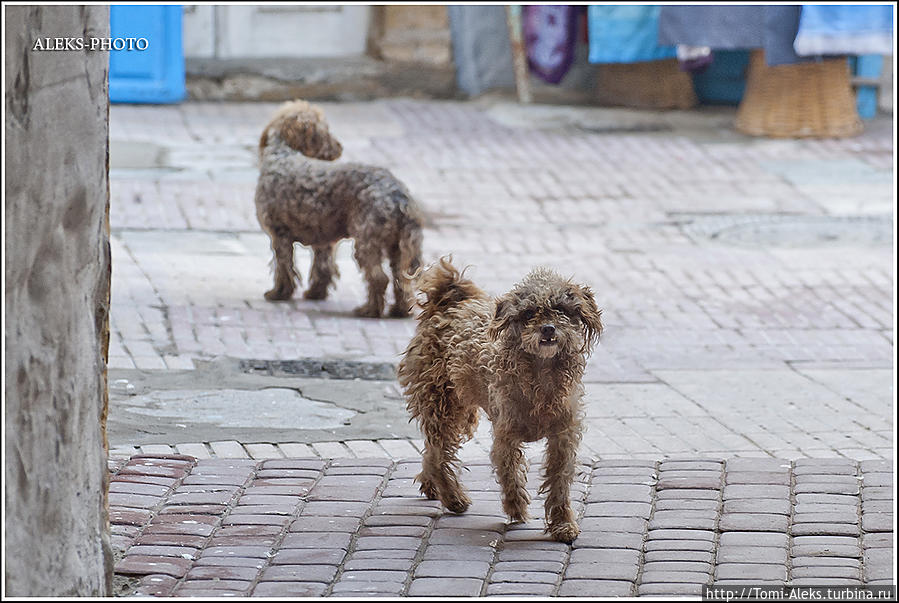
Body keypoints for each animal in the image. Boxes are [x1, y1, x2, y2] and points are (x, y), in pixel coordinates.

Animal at [253, 100, 422, 316]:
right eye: (326, 131)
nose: (340, 147)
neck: (283, 155)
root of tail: (399, 196)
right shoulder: (324, 240)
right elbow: (323, 268)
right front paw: (315, 293)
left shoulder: (279, 235)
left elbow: (283, 268)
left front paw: (279, 293)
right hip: (398, 248)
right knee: (402, 280)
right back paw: (399, 311)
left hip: (367, 241)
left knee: (378, 278)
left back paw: (369, 310)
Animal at [400, 258, 604, 544]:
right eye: (529, 313)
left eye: (561, 309)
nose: (548, 328)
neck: (541, 374)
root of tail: (448, 305)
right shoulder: (505, 435)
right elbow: (509, 474)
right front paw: (516, 507)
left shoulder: (563, 436)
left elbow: (559, 481)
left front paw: (563, 524)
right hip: (443, 407)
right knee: (439, 455)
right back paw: (452, 497)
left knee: (431, 451)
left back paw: (432, 486)